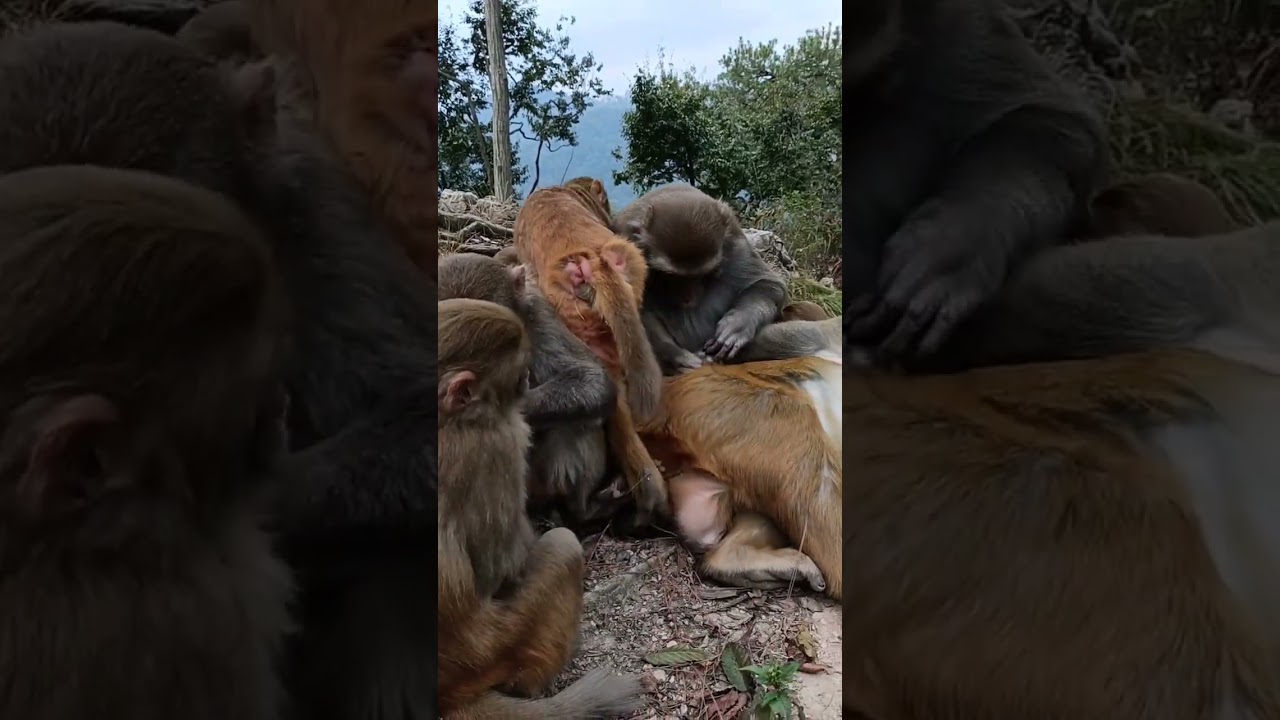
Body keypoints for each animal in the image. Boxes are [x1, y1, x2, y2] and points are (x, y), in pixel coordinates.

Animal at [437, 298, 642, 719]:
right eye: (517, 374)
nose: (526, 383)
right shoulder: (500, 442)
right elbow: (502, 566)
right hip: (497, 647)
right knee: (562, 547)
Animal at [616, 183, 789, 373]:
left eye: (703, 275)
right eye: (671, 276)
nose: (688, 297)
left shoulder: (733, 236)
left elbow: (768, 283)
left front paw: (738, 323)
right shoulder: (629, 242)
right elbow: (636, 311)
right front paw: (677, 356)